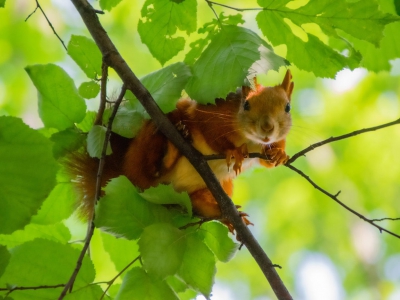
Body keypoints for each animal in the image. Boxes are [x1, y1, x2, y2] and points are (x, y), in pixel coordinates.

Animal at [69, 69, 294, 230]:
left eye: (287, 107)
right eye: (246, 105)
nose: (267, 128)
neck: (251, 139)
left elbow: (267, 161)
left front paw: (279, 154)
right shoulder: (209, 114)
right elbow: (212, 135)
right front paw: (234, 151)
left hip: (211, 188)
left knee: (197, 202)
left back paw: (223, 214)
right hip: (148, 143)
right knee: (150, 168)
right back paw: (169, 152)